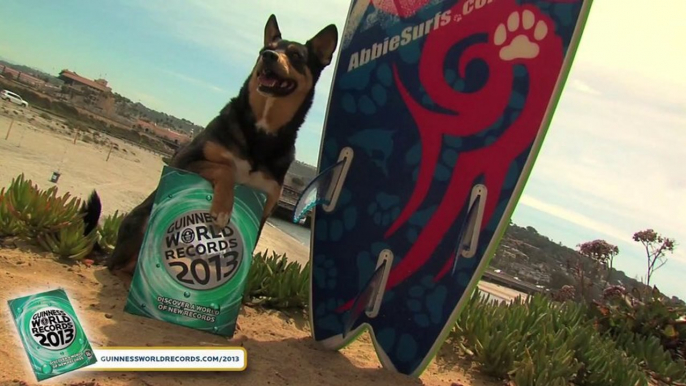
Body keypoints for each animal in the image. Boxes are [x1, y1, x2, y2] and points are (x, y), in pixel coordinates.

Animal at [84, 15, 342, 274]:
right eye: (264, 50)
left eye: (296, 55)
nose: (268, 56)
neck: (261, 130)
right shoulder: (183, 161)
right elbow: (225, 168)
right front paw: (222, 210)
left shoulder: (266, 205)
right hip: (142, 220)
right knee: (120, 263)